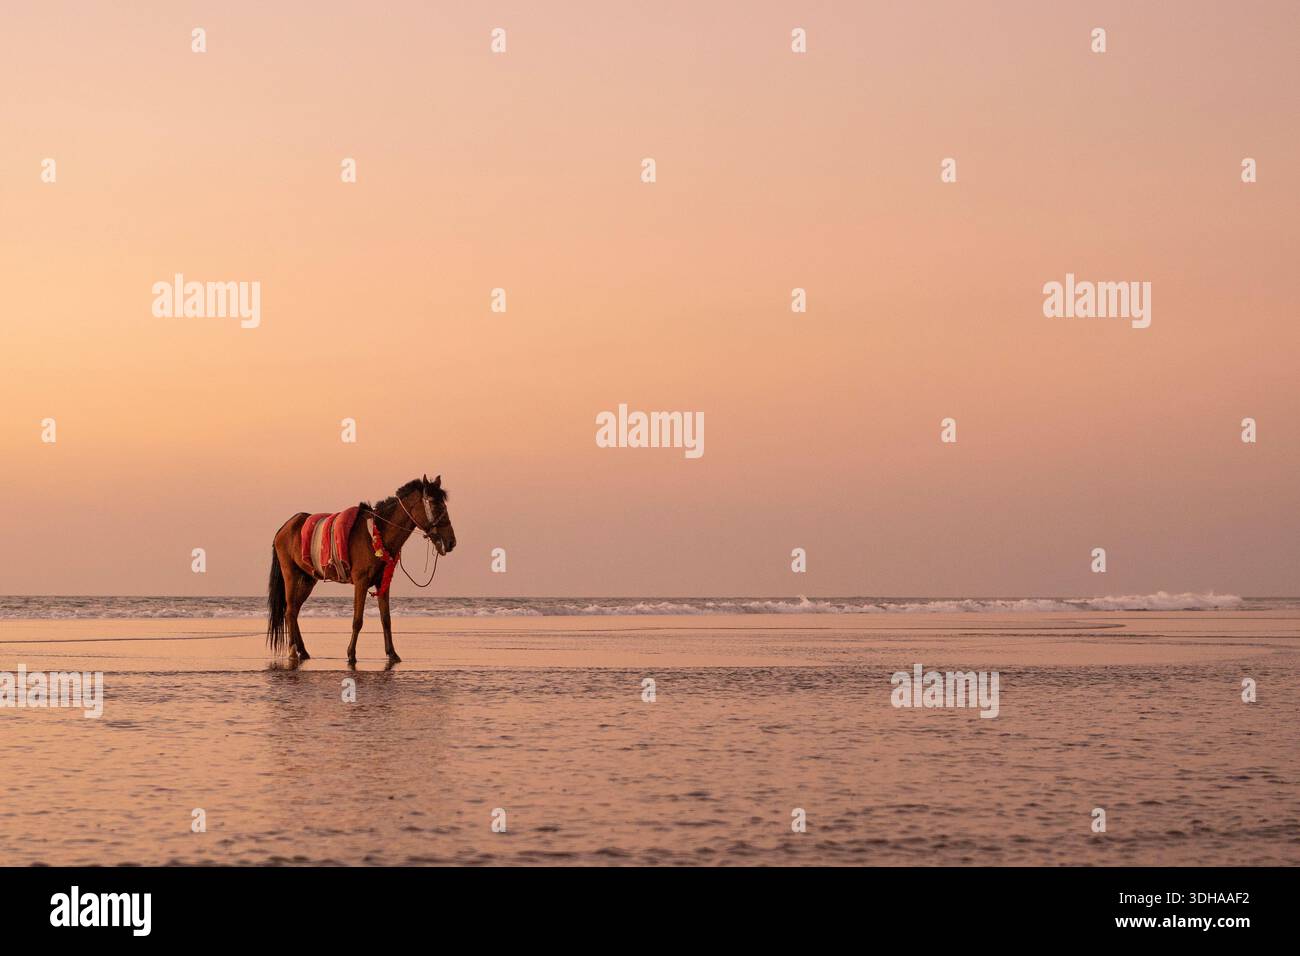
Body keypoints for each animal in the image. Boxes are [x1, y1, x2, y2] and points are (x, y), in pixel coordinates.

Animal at [266, 475, 456, 663]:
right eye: (435, 505)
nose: (451, 542)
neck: (378, 533)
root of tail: (284, 527)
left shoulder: (383, 583)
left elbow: (386, 619)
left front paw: (392, 653)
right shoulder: (361, 582)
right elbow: (357, 620)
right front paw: (351, 653)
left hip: (308, 578)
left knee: (295, 610)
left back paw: (302, 650)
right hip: (290, 574)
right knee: (290, 610)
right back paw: (293, 650)